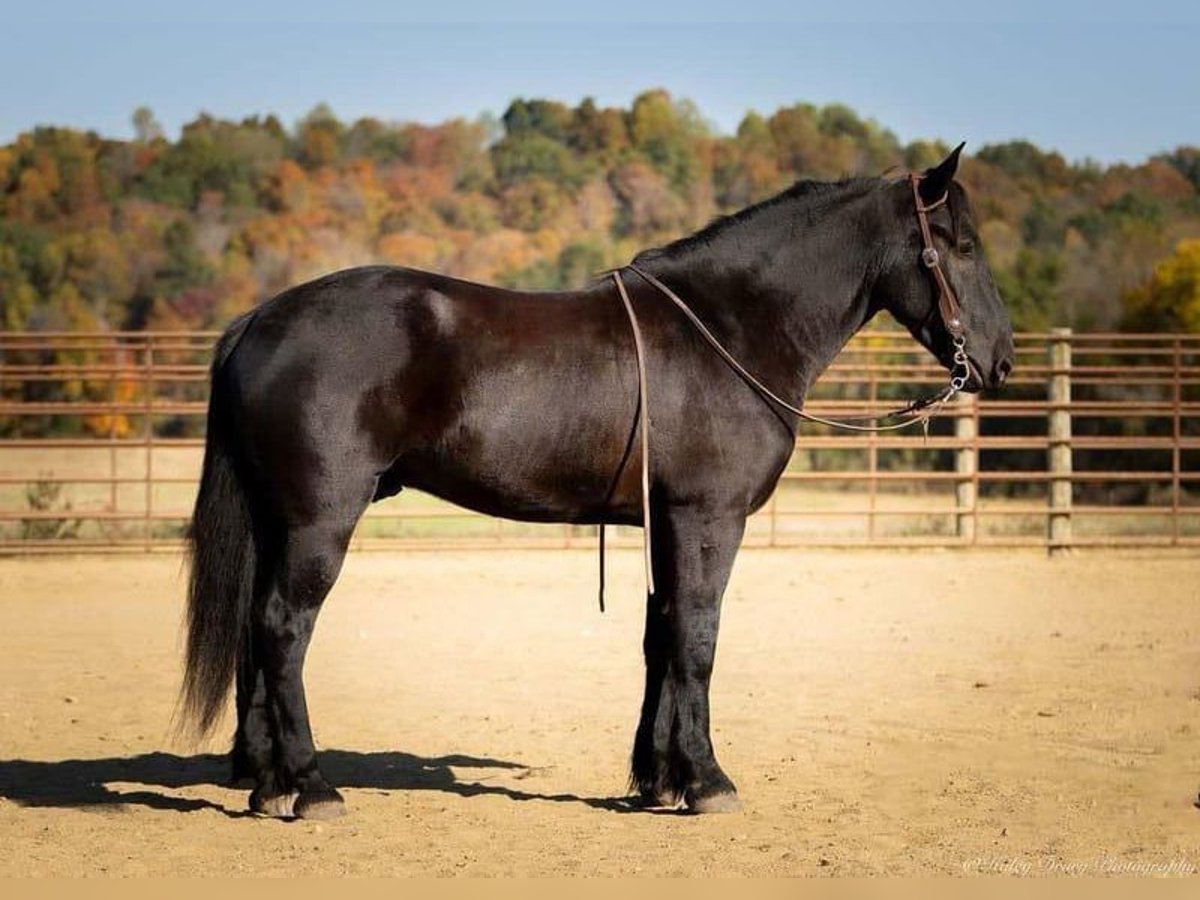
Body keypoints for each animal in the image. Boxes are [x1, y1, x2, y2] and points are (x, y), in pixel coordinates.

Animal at [180, 144, 1012, 820]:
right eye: (962, 245)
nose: (1000, 361)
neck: (729, 329)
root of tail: (259, 319)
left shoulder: (666, 522)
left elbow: (660, 637)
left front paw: (660, 779)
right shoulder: (709, 519)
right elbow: (698, 638)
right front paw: (708, 781)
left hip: (279, 522)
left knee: (258, 634)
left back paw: (269, 785)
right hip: (319, 521)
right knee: (284, 628)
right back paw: (312, 786)